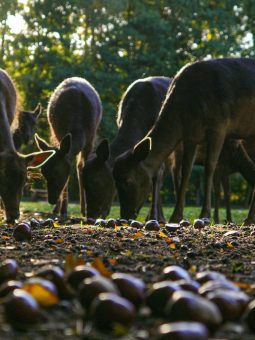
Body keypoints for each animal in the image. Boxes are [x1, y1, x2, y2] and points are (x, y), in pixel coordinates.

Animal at [34, 76, 101, 216]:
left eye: (57, 172)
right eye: (43, 171)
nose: (51, 200)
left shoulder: (90, 139)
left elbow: (82, 168)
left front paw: (85, 210)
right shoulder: (59, 133)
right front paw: (61, 210)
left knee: (79, 166)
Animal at [113, 57, 255, 223]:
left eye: (128, 180)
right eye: (115, 181)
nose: (125, 216)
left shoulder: (219, 126)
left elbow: (209, 168)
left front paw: (205, 215)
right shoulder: (190, 135)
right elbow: (186, 171)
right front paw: (176, 216)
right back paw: (249, 219)